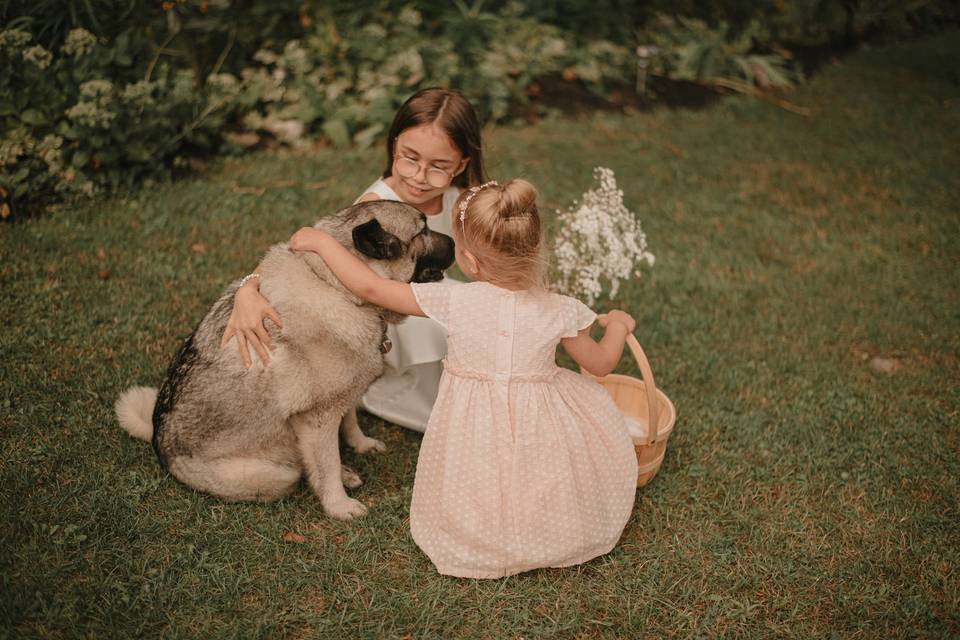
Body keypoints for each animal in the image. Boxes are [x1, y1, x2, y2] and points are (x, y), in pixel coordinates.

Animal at [115, 201, 454, 520]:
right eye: (422, 230)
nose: (453, 240)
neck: (336, 285)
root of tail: (157, 442)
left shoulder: (342, 397)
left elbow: (350, 420)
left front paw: (359, 444)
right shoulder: (318, 419)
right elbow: (327, 464)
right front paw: (338, 505)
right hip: (276, 474)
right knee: (301, 469)